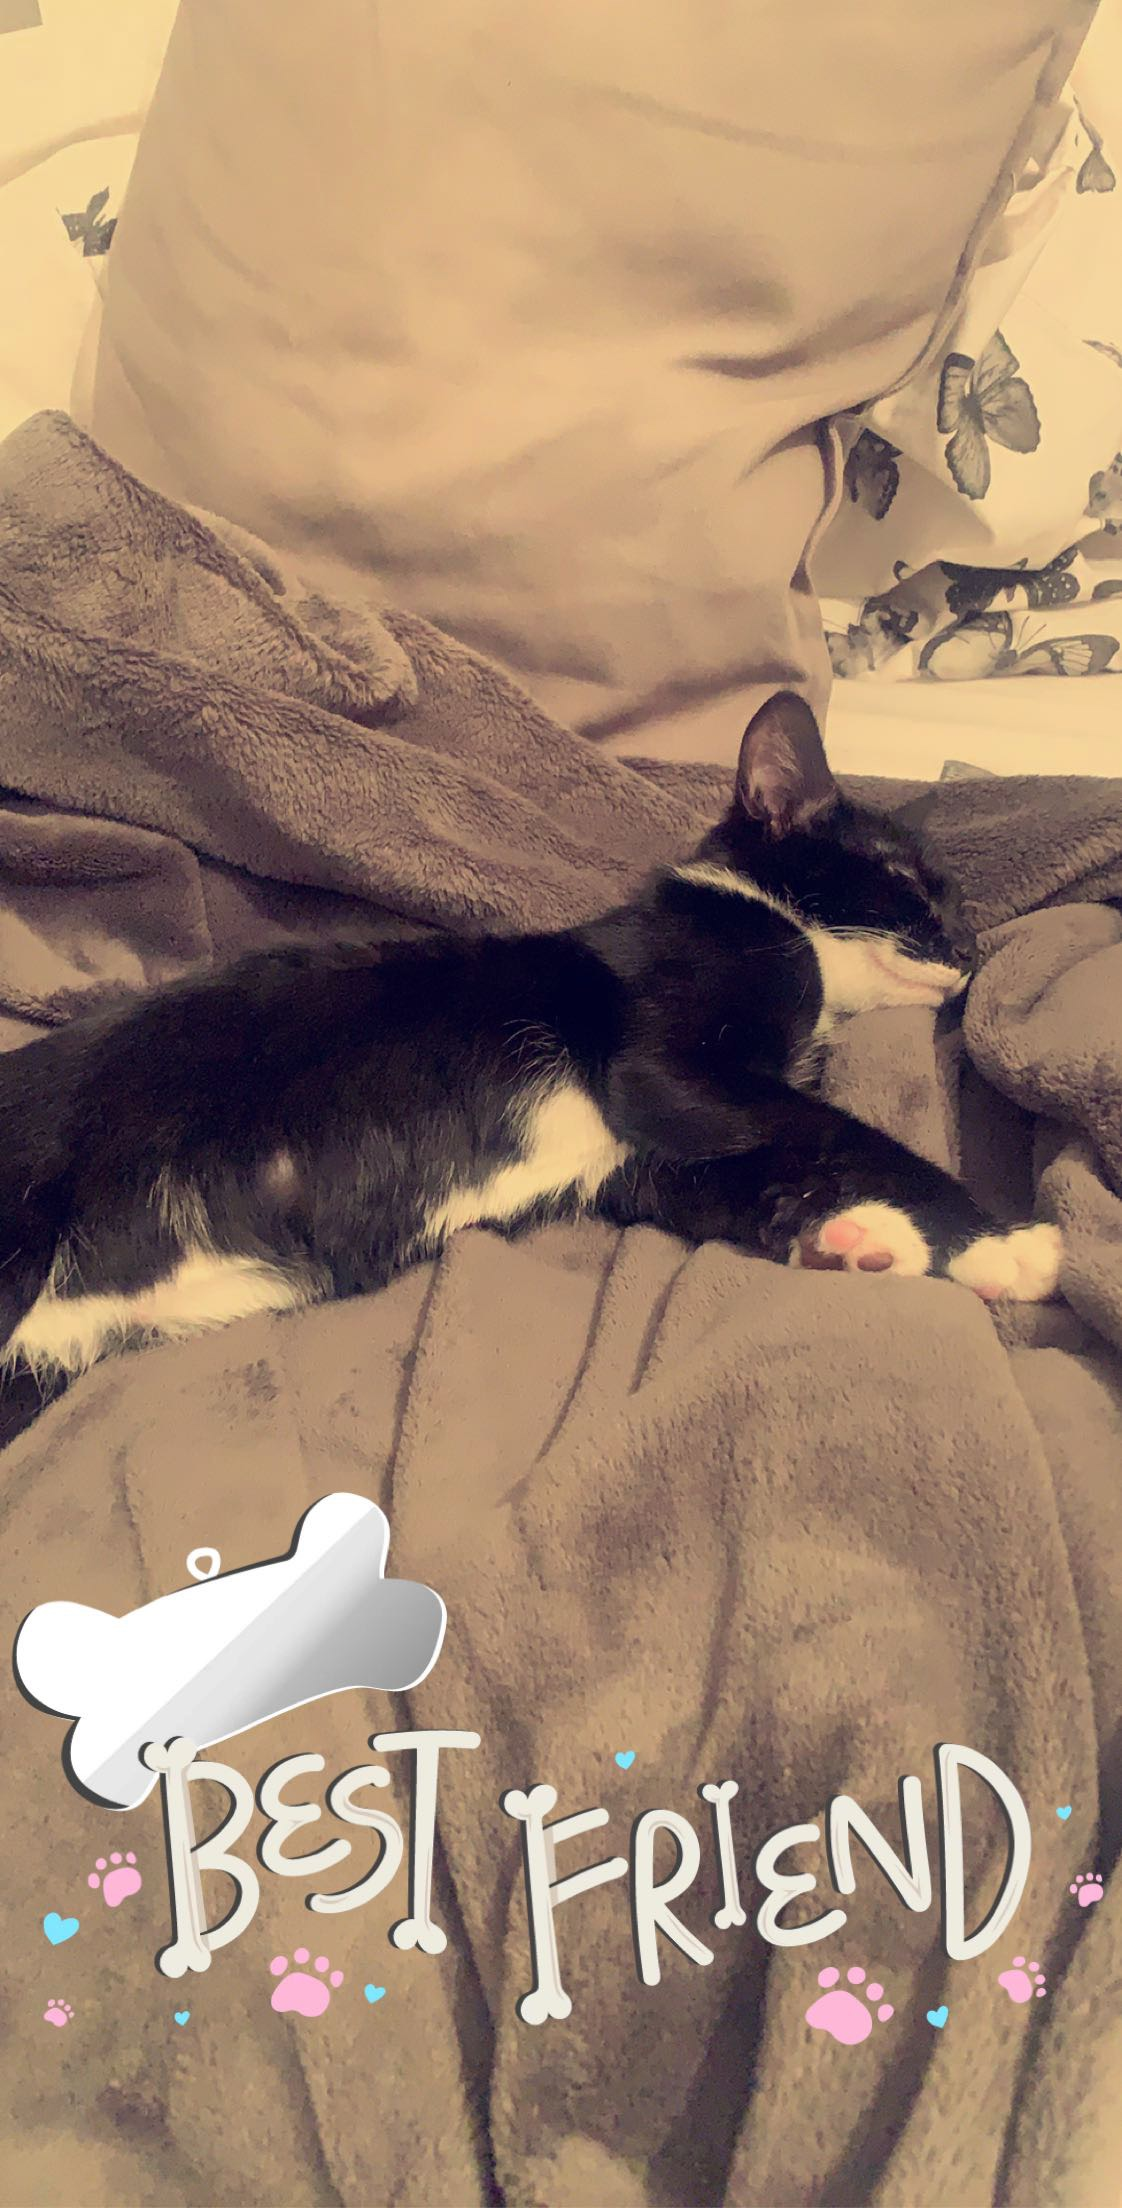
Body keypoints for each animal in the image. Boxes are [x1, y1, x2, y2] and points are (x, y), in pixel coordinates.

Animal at [0, 691, 1061, 1387]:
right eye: (908, 882)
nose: (971, 948)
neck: (773, 927)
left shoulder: (647, 1153)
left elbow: (748, 1180)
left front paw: (859, 1244)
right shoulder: (664, 1068)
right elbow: (844, 1132)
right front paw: (1004, 1241)